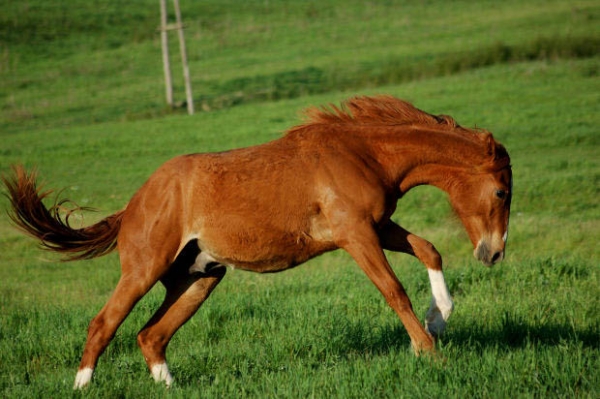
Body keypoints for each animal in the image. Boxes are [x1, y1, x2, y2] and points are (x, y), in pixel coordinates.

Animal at [3, 95, 510, 390]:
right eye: (502, 192)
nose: (494, 252)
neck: (361, 153)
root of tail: (134, 203)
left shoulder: (377, 226)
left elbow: (428, 249)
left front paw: (440, 318)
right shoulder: (356, 235)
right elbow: (393, 290)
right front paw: (428, 352)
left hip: (198, 278)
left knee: (151, 335)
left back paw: (170, 385)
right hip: (145, 269)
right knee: (104, 324)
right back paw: (82, 385)